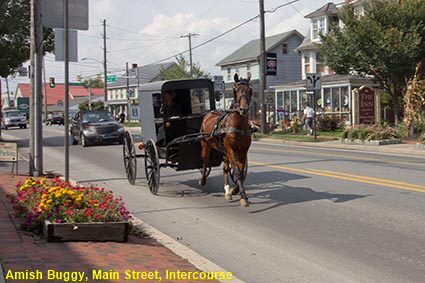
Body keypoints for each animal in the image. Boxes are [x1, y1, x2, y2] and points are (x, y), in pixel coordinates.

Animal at [200, 73, 252, 206]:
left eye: (249, 89)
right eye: (236, 90)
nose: (243, 109)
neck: (238, 125)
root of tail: (209, 113)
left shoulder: (242, 151)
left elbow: (241, 173)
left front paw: (235, 190)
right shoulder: (231, 149)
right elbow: (237, 172)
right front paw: (243, 196)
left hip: (224, 150)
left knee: (225, 168)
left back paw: (227, 190)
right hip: (206, 145)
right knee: (205, 162)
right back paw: (203, 180)